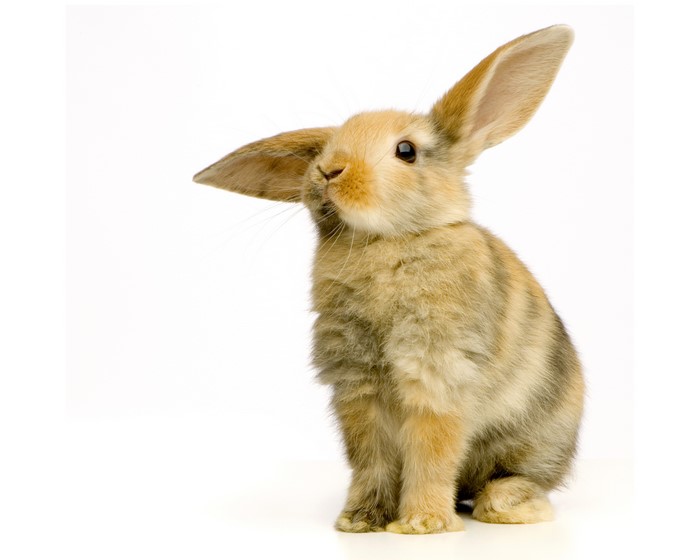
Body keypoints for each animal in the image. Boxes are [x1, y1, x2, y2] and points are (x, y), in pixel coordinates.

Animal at [194, 25, 584, 534]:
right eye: (326, 148)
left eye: (406, 151)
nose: (328, 170)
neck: (384, 242)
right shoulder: (357, 386)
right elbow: (369, 458)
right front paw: (360, 521)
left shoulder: (435, 374)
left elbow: (432, 452)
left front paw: (421, 525)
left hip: (533, 443)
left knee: (517, 481)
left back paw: (507, 507)